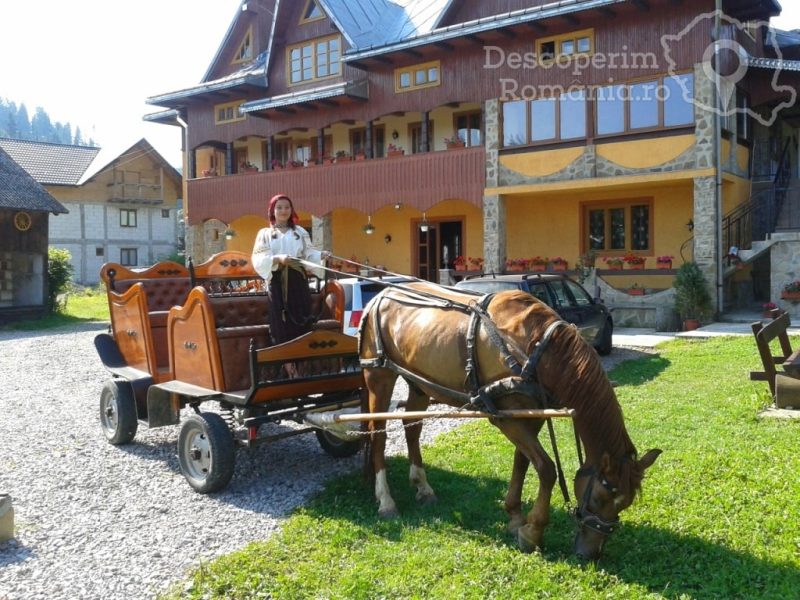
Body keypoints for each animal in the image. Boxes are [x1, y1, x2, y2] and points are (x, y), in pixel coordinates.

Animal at [360, 284, 660, 560]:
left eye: (624, 504)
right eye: (599, 497)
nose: (590, 554)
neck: (535, 349)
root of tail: (379, 295)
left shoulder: (530, 414)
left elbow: (523, 462)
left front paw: (515, 517)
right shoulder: (506, 418)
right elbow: (547, 469)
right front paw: (533, 531)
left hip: (420, 384)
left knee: (412, 429)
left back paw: (423, 487)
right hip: (379, 377)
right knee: (378, 435)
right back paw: (385, 500)